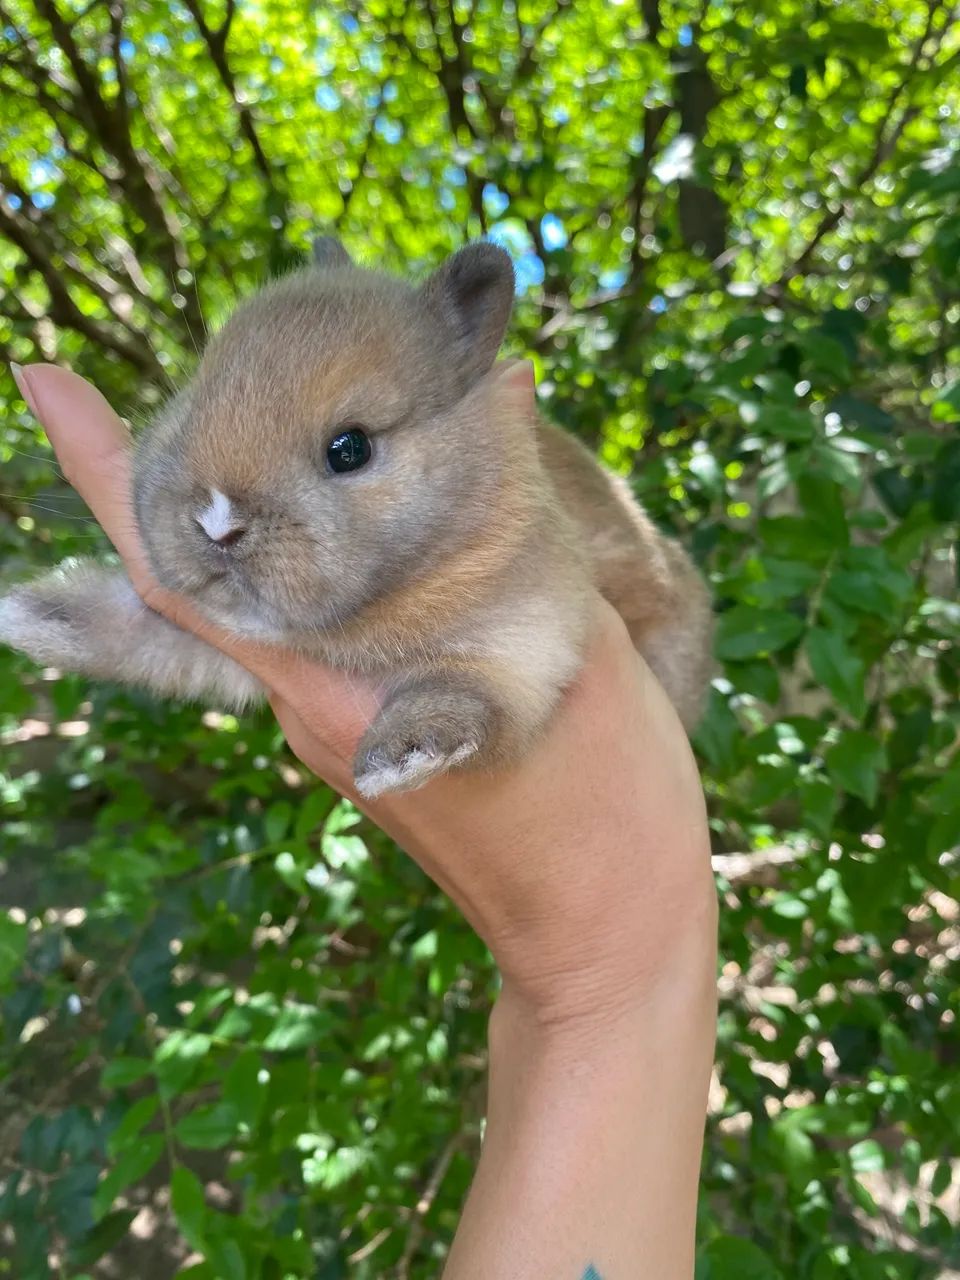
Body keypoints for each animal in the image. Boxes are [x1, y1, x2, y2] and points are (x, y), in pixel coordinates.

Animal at [0, 238, 714, 799]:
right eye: (194, 393)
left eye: (351, 449)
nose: (216, 524)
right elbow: (122, 629)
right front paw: (28, 613)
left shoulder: (529, 633)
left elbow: (467, 689)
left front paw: (399, 758)